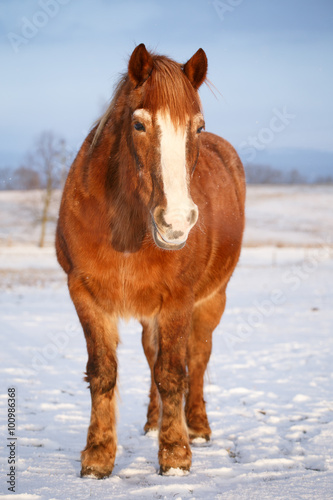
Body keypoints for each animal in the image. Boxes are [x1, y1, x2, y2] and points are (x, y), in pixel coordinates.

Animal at [56, 45, 244, 478]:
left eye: (198, 127)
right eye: (139, 125)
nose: (175, 221)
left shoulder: (178, 299)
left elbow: (173, 372)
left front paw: (175, 455)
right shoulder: (83, 294)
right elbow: (103, 371)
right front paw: (97, 456)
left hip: (212, 300)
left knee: (197, 358)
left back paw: (198, 427)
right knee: (151, 355)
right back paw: (152, 423)